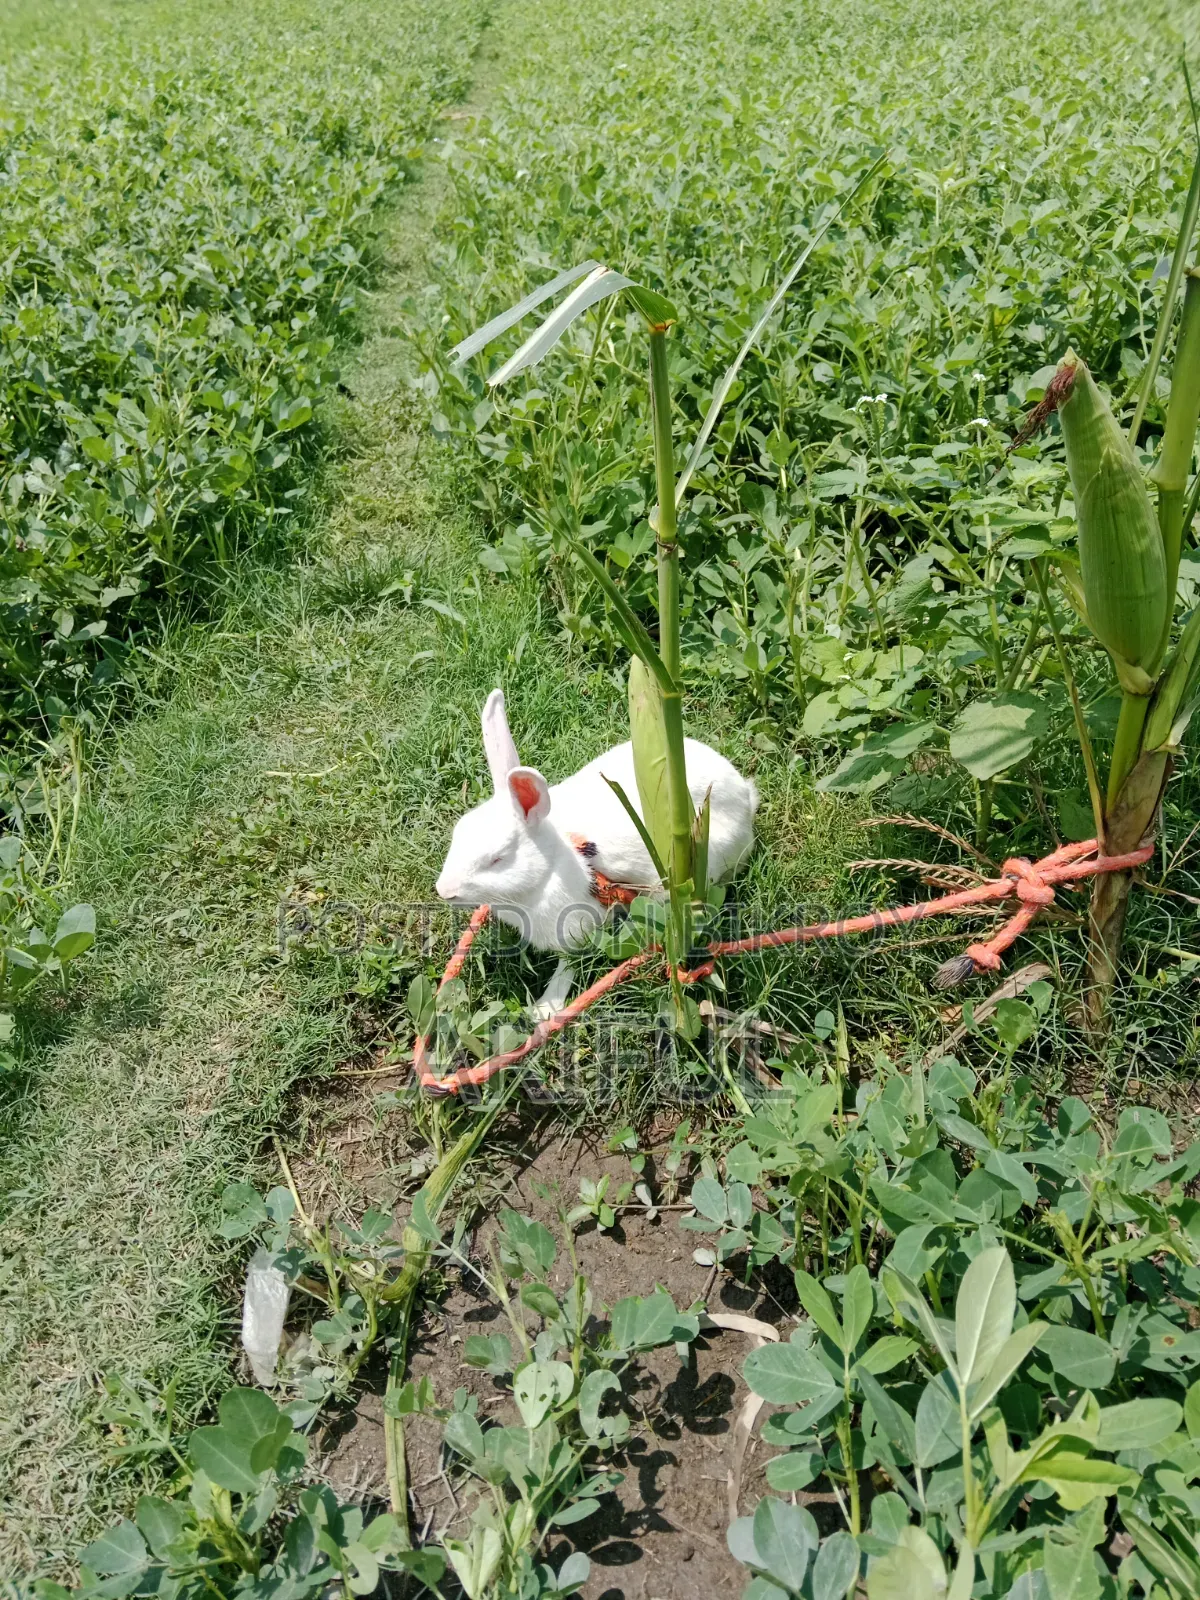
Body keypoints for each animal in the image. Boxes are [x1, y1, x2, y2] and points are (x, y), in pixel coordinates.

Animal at [435, 689, 758, 1015]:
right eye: (458, 831)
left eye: (497, 858)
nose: (444, 890)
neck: (553, 866)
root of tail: (745, 793)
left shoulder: (576, 928)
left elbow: (567, 967)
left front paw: (546, 1010)